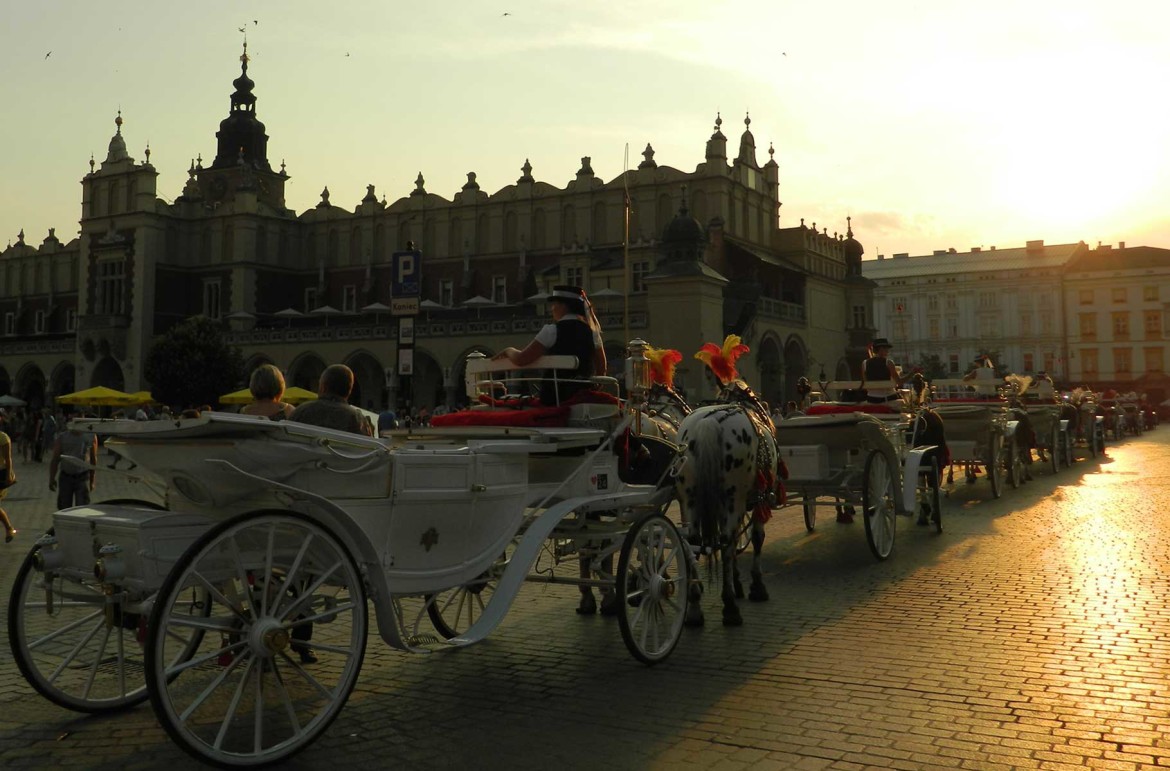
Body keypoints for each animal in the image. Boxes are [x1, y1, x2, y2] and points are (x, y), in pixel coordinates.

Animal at [673, 379, 781, 627]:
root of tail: (707, 424)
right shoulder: (758, 499)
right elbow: (756, 538)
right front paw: (756, 586)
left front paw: (738, 582)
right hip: (734, 496)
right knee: (726, 541)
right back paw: (730, 607)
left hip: (690, 497)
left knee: (694, 542)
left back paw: (694, 606)